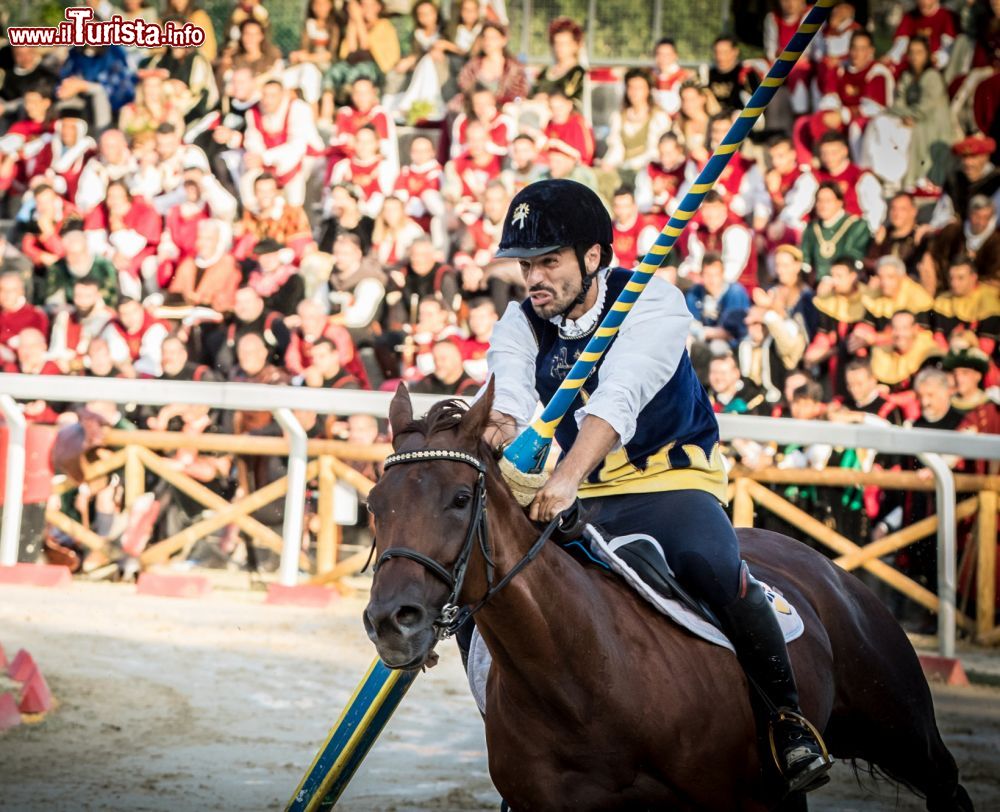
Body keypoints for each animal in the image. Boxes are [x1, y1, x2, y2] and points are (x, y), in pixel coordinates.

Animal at [364, 384, 972, 808]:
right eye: (375, 503)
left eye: (461, 498)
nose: (392, 620)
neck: (582, 677)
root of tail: (829, 569)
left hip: (901, 728)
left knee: (948, 784)